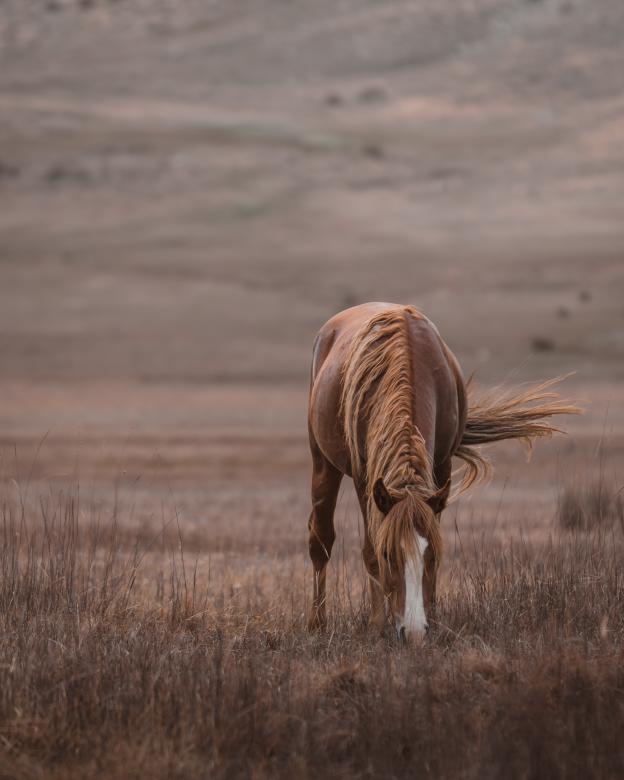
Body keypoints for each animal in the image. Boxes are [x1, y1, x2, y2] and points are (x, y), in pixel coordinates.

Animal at [307, 302, 580, 641]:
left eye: (429, 555)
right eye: (390, 556)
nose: (412, 633)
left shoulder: (441, 467)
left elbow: (435, 536)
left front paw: (434, 619)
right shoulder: (365, 478)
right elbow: (370, 549)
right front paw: (377, 625)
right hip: (323, 462)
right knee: (320, 541)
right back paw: (317, 624)